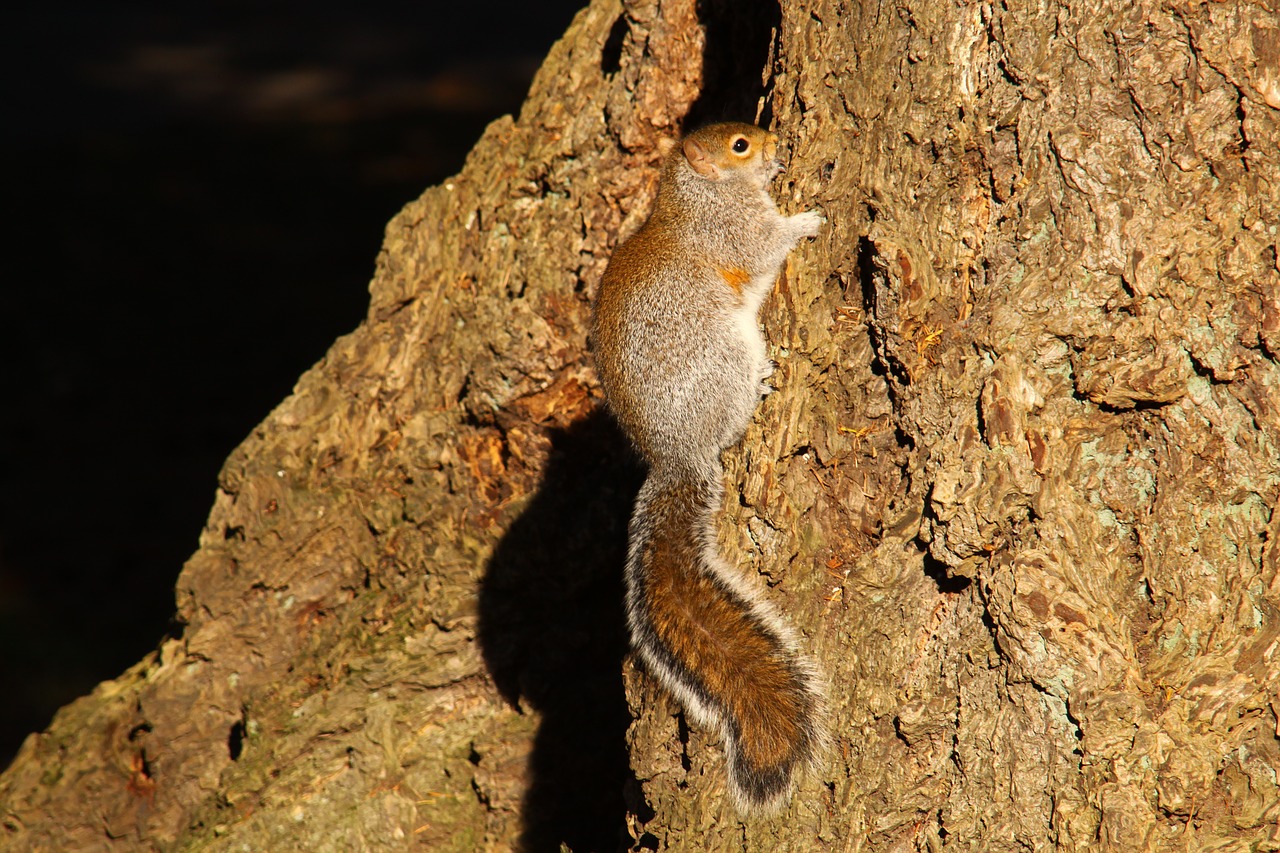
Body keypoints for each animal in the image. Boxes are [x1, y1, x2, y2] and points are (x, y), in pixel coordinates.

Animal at [586, 121, 819, 809]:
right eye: (740, 145)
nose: (774, 146)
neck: (694, 194)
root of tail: (677, 455)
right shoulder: (735, 233)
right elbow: (767, 244)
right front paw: (807, 219)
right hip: (724, 357)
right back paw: (762, 384)